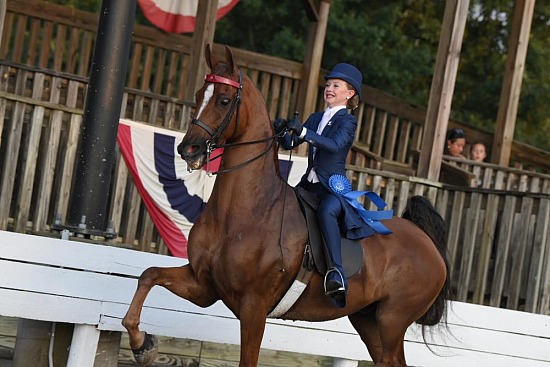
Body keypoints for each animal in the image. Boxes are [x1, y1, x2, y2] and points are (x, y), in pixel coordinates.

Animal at [124, 44, 452, 366]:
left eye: (224, 100)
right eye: (198, 96)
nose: (187, 149)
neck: (244, 211)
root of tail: (426, 241)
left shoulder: (254, 308)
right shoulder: (203, 286)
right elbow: (149, 275)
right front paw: (143, 344)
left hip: (391, 321)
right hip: (367, 319)